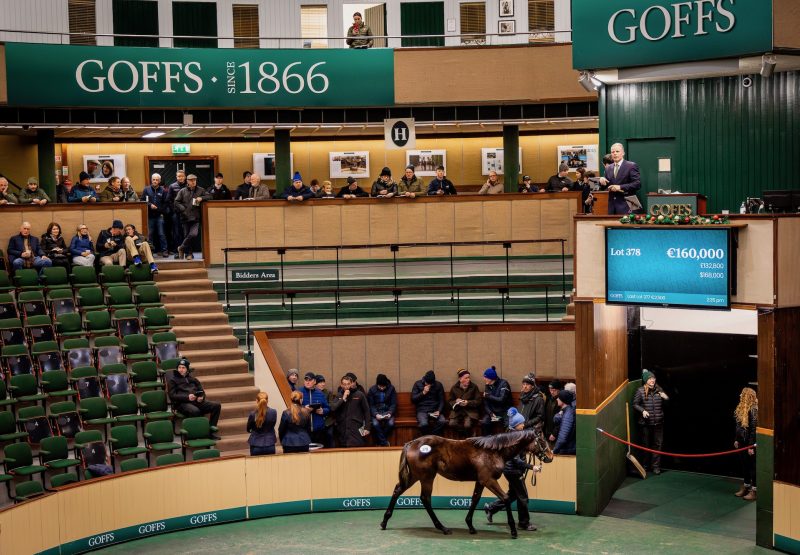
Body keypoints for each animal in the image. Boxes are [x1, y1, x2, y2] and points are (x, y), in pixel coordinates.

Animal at [378, 430, 552, 540]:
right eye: (542, 441)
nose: (550, 456)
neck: (493, 451)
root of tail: (412, 443)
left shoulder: (481, 481)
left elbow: (475, 499)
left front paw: (471, 526)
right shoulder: (489, 480)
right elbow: (506, 498)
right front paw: (514, 531)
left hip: (416, 476)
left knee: (399, 490)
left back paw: (385, 522)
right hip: (426, 477)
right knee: (424, 498)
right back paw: (443, 528)